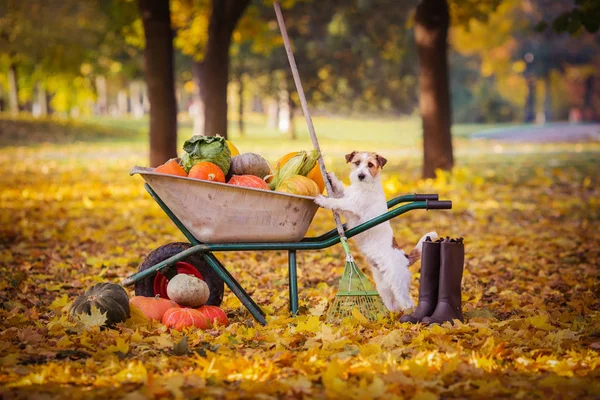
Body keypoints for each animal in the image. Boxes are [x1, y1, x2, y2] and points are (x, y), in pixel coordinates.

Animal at [314, 152, 436, 310]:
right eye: (357, 162)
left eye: (370, 165)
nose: (360, 175)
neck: (363, 187)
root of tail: (405, 258)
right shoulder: (348, 198)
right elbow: (340, 191)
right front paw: (331, 178)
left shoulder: (351, 205)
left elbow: (337, 202)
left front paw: (323, 201)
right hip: (384, 286)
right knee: (392, 304)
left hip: (398, 285)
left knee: (407, 302)